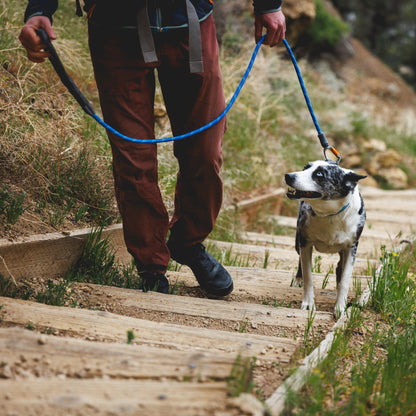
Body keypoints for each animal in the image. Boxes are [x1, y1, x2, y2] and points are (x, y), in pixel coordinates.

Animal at [284, 159, 366, 316]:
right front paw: (308, 303)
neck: (330, 214)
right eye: (305, 167)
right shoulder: (305, 242)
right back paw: (298, 279)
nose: (288, 176)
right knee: (300, 261)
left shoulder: (352, 247)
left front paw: (340, 307)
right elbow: (308, 276)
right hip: (298, 242)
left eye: (319, 174)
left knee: (340, 267)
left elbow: (345, 280)